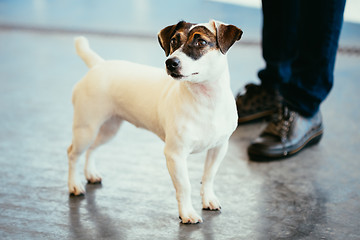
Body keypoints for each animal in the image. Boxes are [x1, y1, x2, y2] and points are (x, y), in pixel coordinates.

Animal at [67, 19, 242, 224]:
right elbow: (184, 187)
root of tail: (98, 66)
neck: (206, 102)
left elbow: (208, 176)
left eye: (201, 42)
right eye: (174, 41)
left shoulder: (219, 148)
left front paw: (208, 199)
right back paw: (74, 185)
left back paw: (91, 174)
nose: (171, 62)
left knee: (92, 148)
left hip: (108, 129)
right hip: (86, 128)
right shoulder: (175, 155)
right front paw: (187, 214)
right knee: (73, 154)